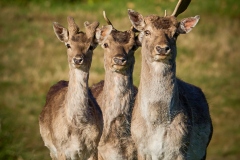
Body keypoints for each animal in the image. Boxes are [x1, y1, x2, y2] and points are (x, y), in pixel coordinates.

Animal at [38, 16, 102, 159]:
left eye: (91, 46)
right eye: (68, 45)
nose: (77, 59)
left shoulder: (93, 149)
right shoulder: (61, 150)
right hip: (51, 151)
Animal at [127, 0, 214, 159]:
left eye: (175, 34)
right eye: (147, 31)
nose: (162, 48)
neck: (157, 124)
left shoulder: (180, 149)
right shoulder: (141, 148)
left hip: (202, 152)